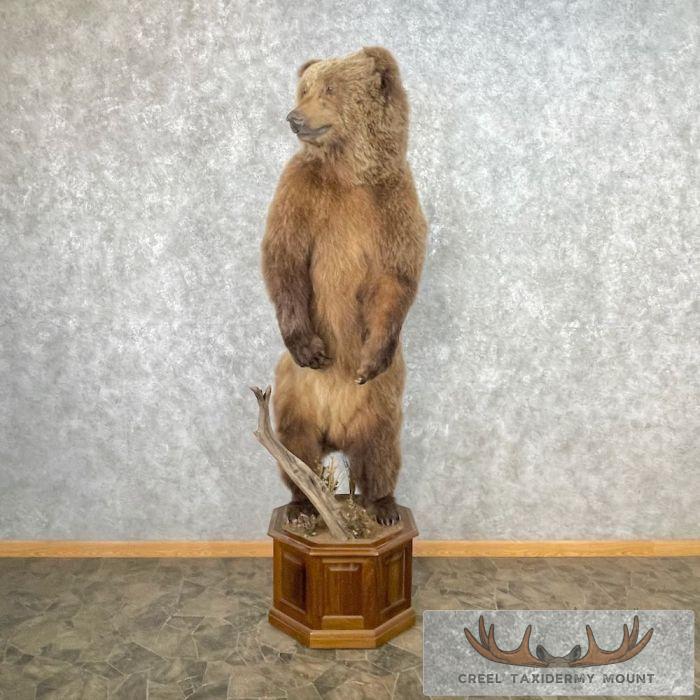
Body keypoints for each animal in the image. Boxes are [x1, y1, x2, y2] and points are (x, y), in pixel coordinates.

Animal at [261, 47, 427, 526]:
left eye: (330, 88)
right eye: (304, 88)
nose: (294, 116)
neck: (348, 173)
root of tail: (335, 433)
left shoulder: (394, 201)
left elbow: (396, 277)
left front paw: (372, 356)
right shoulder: (299, 191)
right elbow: (285, 258)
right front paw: (310, 347)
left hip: (381, 404)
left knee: (381, 451)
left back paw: (383, 507)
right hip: (292, 396)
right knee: (294, 450)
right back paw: (301, 507)